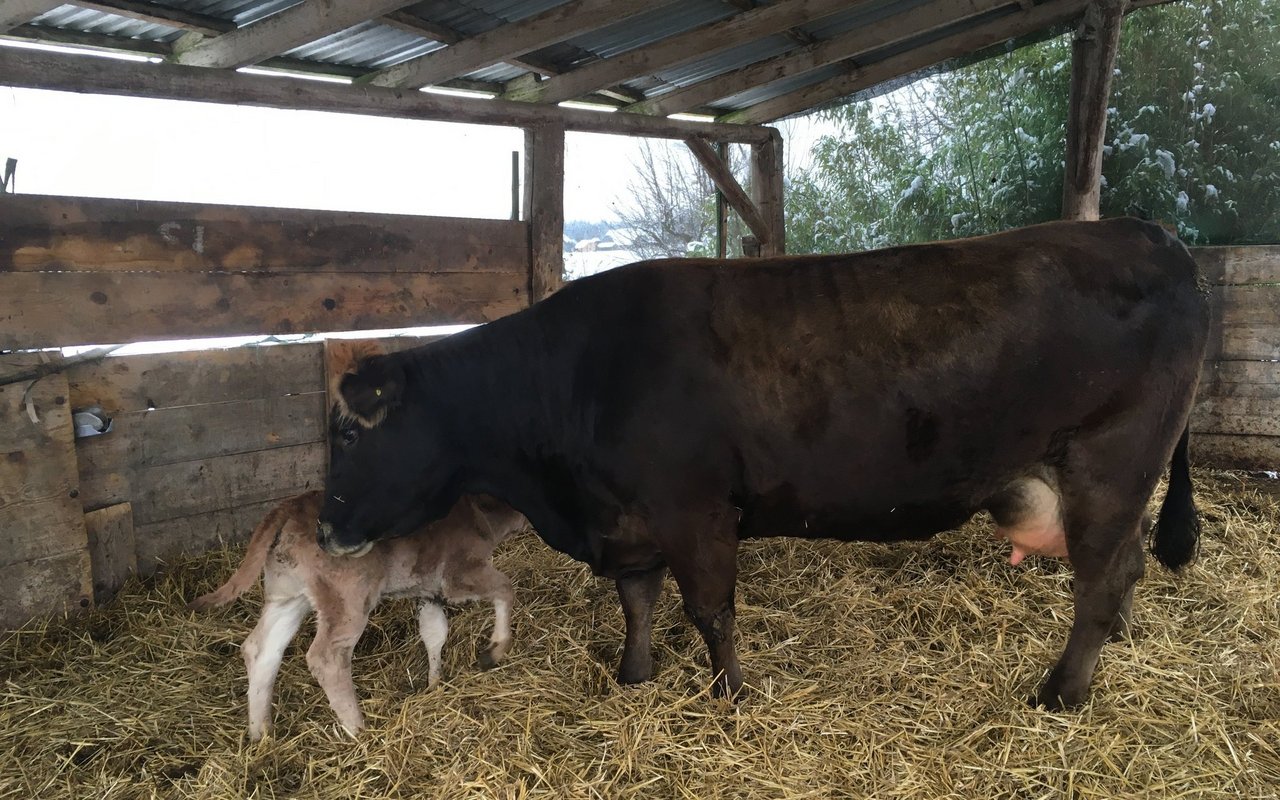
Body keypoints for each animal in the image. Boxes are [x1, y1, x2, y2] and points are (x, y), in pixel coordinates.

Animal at [186, 488, 524, 737]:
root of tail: (292, 505)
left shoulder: (428, 591)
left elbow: (434, 633)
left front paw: (434, 684)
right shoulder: (459, 574)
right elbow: (506, 588)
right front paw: (494, 650)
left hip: (289, 594)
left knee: (261, 649)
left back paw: (261, 733)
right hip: (348, 598)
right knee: (326, 657)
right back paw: (358, 730)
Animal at [312, 216, 1208, 706]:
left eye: (348, 435)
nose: (323, 530)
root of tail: (1145, 231)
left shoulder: (695, 511)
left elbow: (710, 610)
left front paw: (730, 696)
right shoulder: (630, 520)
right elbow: (637, 601)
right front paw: (635, 675)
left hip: (1108, 463)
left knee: (1100, 582)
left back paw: (1061, 693)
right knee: (1122, 572)